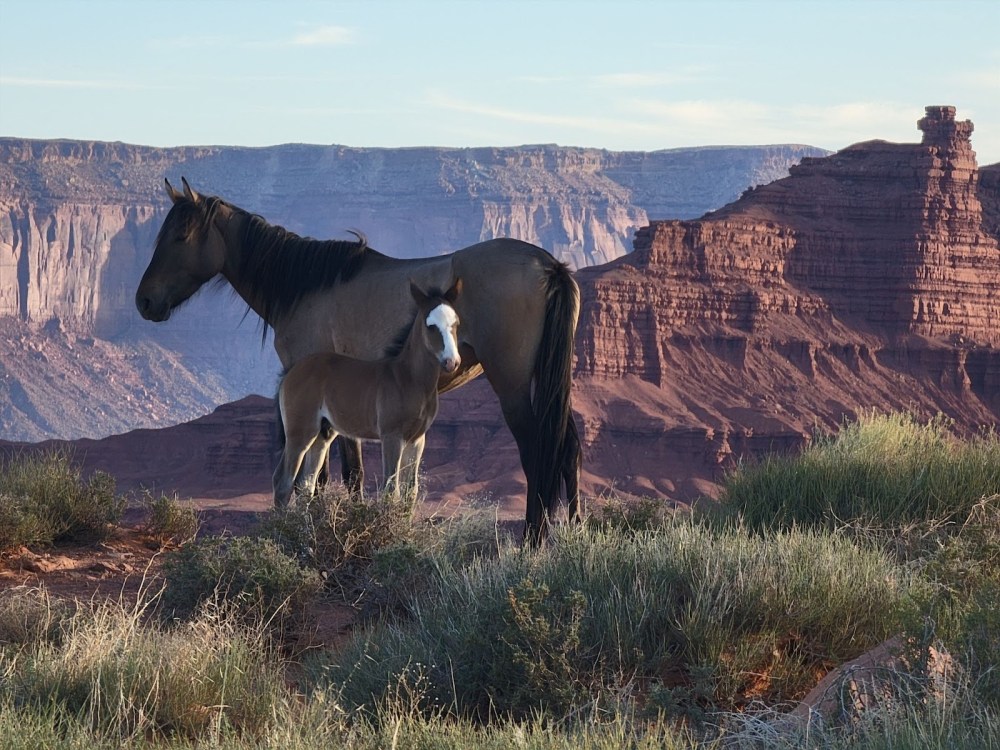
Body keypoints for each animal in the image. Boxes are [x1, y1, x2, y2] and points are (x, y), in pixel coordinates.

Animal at [274, 279, 462, 507]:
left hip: (322, 433)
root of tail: (290, 373)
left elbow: (410, 492)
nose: (452, 362)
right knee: (284, 483)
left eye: (456, 323)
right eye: (430, 326)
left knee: (305, 485)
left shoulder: (417, 439)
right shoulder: (391, 435)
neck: (409, 379)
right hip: (300, 431)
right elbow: (391, 490)